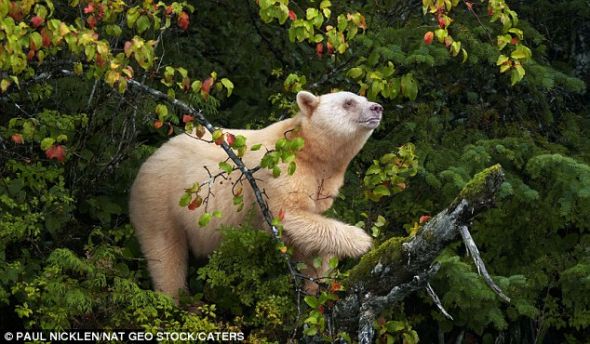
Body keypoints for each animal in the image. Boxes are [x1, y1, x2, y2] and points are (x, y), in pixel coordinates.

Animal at [130, 90, 384, 296]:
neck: (308, 150)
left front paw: (317, 280)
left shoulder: (322, 183)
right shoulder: (280, 171)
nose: (377, 107)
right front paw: (362, 240)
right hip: (160, 199)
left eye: (363, 98)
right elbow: (289, 216)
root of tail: (147, 162)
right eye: (348, 102)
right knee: (165, 254)